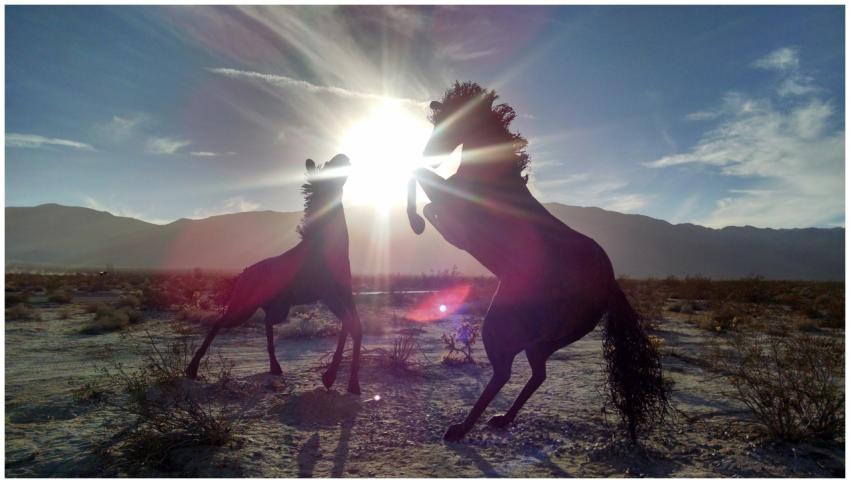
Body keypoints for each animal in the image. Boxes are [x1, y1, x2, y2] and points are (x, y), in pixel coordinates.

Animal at [185, 154, 363, 395]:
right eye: (327, 168)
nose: (343, 156)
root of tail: (244, 274)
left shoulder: (345, 292)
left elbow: (355, 327)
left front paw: (348, 382)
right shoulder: (329, 294)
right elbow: (349, 325)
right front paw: (333, 378)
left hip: (276, 307)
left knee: (267, 323)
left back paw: (275, 367)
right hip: (243, 307)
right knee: (219, 322)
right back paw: (192, 369)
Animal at [407, 82, 667, 442]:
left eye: (451, 120)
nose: (431, 154)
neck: (493, 177)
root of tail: (609, 286)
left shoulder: (455, 207)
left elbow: (418, 184)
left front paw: (416, 222)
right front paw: (420, 219)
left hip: (500, 326)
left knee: (504, 372)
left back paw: (462, 428)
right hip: (542, 343)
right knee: (536, 374)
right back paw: (501, 419)